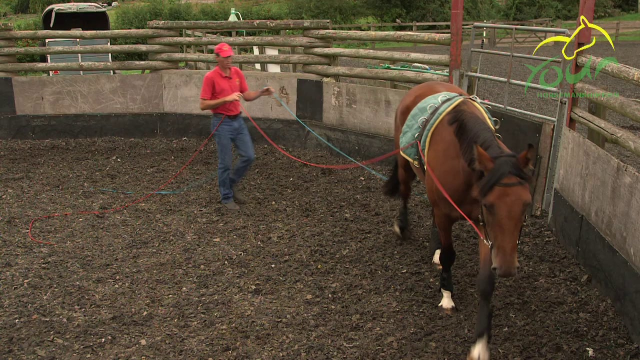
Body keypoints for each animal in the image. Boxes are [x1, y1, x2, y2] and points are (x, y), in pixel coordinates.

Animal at [380, 81, 536, 360]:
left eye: (526, 204)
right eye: (490, 204)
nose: (507, 267)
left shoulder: (485, 229)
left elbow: (486, 283)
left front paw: (480, 344)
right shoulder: (450, 214)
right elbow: (449, 256)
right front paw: (446, 295)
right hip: (405, 164)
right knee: (406, 193)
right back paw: (403, 226)